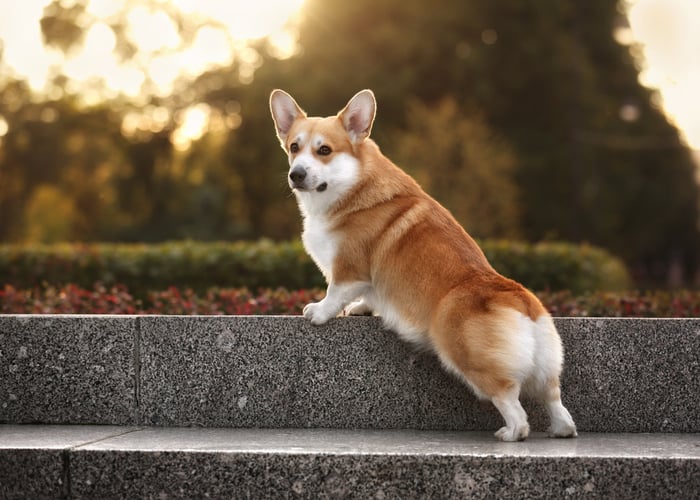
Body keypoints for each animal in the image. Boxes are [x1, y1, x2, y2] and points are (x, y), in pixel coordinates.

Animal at [266, 90, 576, 442]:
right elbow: (367, 296)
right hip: (547, 367)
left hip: (471, 359)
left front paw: (318, 312)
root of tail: (518, 298)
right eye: (294, 147)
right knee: (554, 398)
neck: (352, 186)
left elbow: (335, 293)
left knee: (511, 402)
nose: (296, 174)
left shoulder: (349, 268)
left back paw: (511, 433)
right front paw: (361, 309)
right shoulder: (367, 281)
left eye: (324, 151)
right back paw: (561, 430)